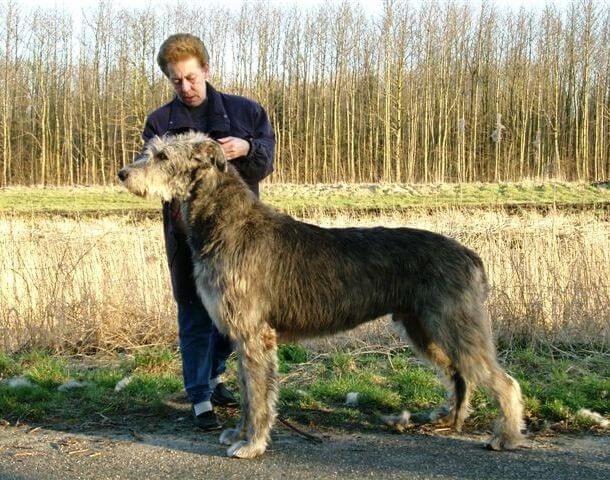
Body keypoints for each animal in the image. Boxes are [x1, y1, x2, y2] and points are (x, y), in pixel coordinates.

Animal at [117, 130, 524, 458]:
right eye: (150, 150)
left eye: (162, 156)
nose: (123, 173)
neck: (227, 223)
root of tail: (471, 255)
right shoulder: (242, 335)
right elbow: (248, 392)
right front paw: (240, 433)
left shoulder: (254, 334)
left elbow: (259, 395)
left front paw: (252, 444)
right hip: (423, 328)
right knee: (458, 375)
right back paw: (444, 419)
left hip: (454, 325)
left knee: (502, 381)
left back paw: (505, 436)